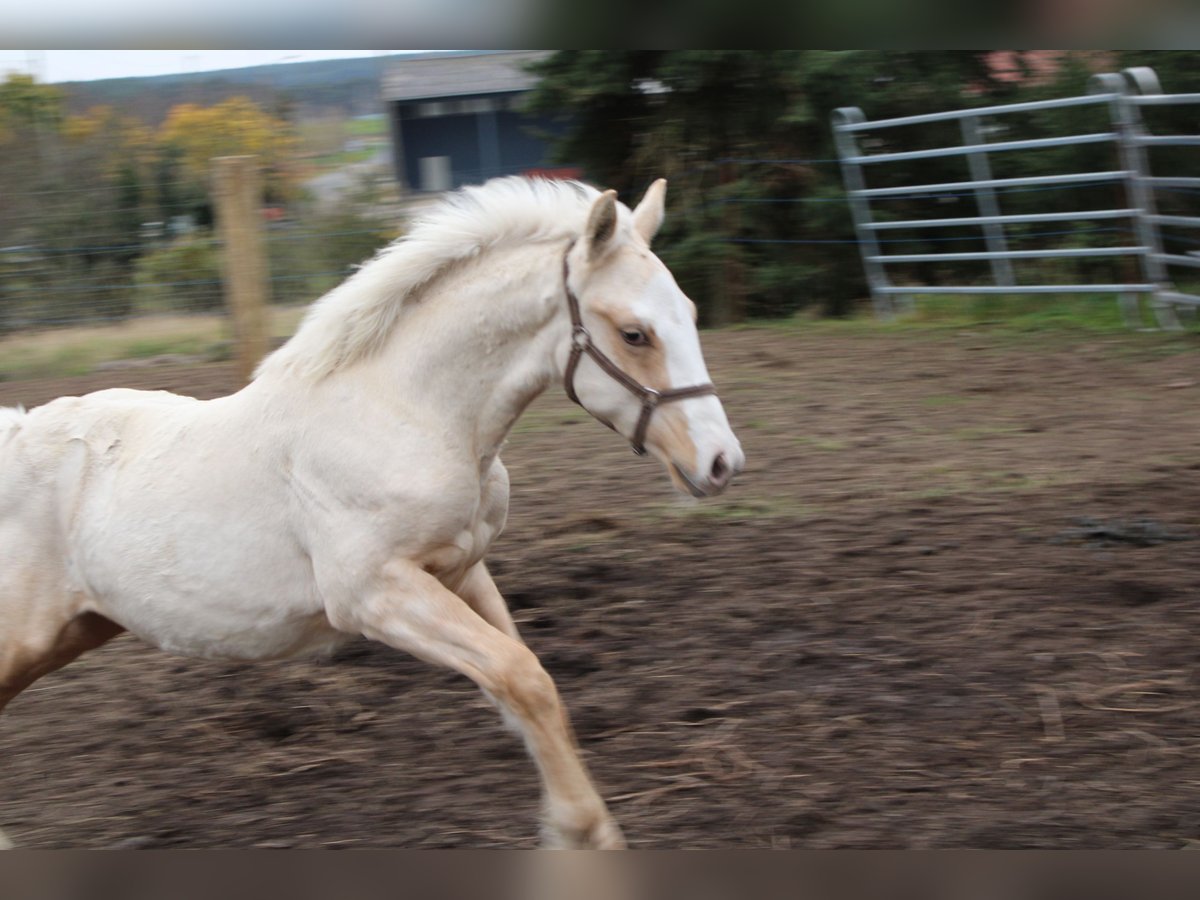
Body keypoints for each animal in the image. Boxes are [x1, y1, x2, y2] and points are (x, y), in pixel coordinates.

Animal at [0, 177, 744, 854]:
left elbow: (521, 683)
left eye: (689, 311)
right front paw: (580, 830)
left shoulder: (459, 571)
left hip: (77, 630)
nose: (721, 463)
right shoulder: (374, 595)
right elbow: (523, 677)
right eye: (634, 333)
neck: (410, 414)